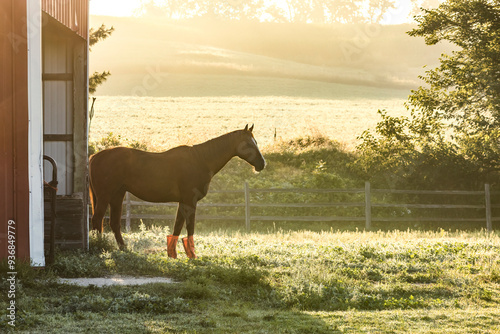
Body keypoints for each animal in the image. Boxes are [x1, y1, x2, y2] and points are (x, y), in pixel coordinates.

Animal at [88, 125, 266, 258]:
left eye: (255, 141)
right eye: (249, 143)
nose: (262, 164)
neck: (200, 160)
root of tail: (94, 157)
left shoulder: (183, 202)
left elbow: (177, 227)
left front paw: (172, 254)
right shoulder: (190, 201)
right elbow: (189, 227)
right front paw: (192, 255)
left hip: (117, 196)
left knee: (113, 223)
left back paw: (122, 248)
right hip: (105, 196)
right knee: (97, 220)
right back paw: (98, 247)